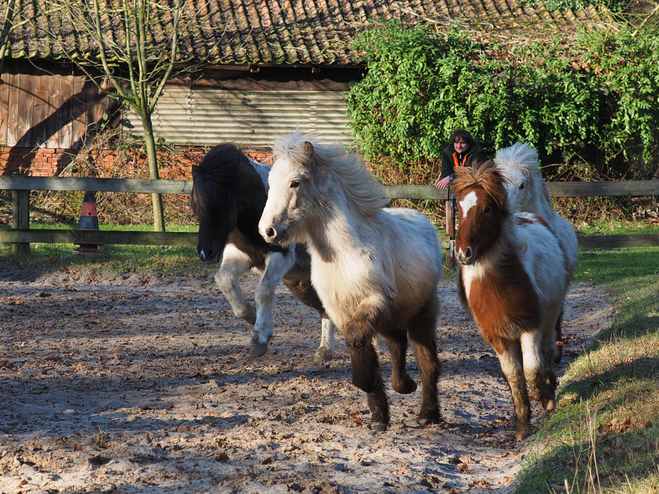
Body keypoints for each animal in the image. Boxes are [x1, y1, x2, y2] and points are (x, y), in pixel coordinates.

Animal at [189, 141, 336, 360]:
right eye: (195, 206)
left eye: (221, 203)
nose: (205, 253)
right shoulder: (241, 256)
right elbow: (224, 279)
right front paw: (250, 315)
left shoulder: (280, 257)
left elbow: (264, 291)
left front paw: (260, 338)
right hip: (302, 284)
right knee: (326, 309)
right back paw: (325, 350)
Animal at [258, 129, 444, 430]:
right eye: (271, 182)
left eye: (295, 182)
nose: (267, 231)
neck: (344, 254)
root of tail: (424, 222)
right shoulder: (341, 311)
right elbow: (360, 348)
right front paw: (378, 415)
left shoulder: (374, 301)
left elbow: (358, 342)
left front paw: (365, 384)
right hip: (391, 318)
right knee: (397, 342)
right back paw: (403, 385)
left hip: (422, 312)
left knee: (427, 360)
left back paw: (428, 412)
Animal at [454, 161, 572, 440]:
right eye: (458, 207)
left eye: (487, 209)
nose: (463, 253)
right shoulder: (497, 337)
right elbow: (514, 377)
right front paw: (522, 425)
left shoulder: (530, 327)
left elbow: (531, 370)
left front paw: (547, 398)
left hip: (549, 319)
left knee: (547, 352)